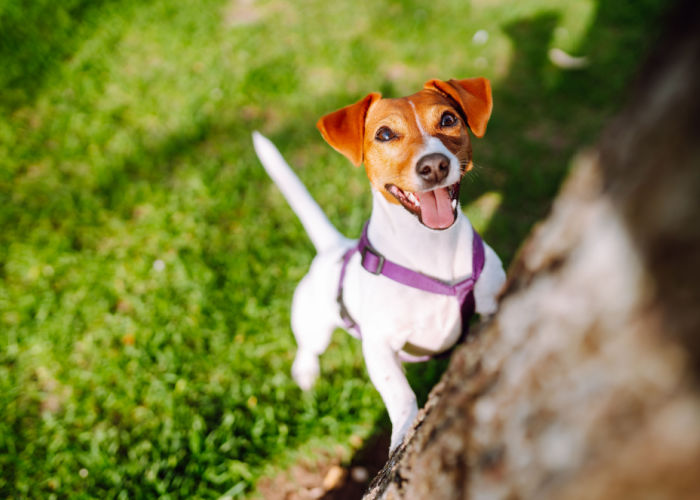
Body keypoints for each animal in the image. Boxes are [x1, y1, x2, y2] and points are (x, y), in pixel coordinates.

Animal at [252, 77, 504, 450]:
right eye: (385, 134)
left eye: (448, 120)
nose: (434, 165)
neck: (430, 247)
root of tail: (334, 246)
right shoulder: (379, 345)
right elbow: (399, 393)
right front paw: (402, 431)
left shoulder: (490, 302)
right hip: (313, 323)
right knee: (307, 348)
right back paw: (306, 373)